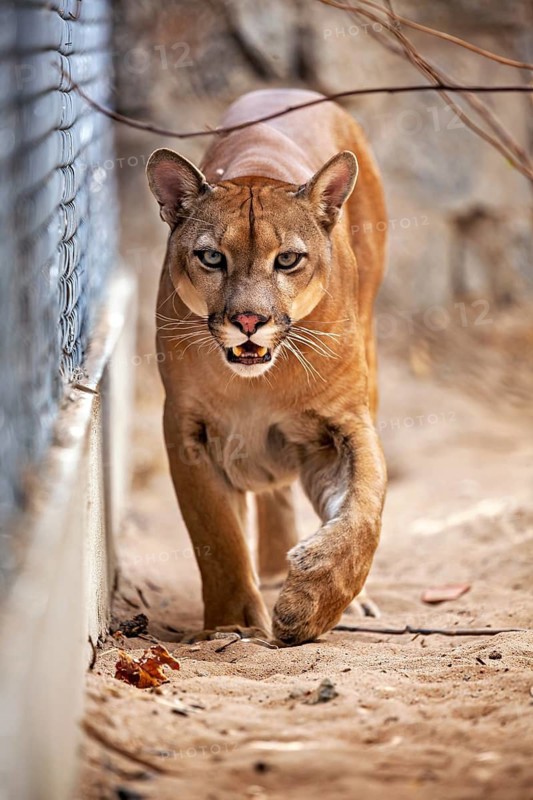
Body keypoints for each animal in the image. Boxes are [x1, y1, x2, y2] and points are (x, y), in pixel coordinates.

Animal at [146, 89, 387, 645]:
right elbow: (216, 535)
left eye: (288, 260)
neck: (257, 388)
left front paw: (307, 605)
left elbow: (364, 510)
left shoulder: (345, 420)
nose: (249, 321)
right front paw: (230, 624)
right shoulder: (186, 428)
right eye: (212, 257)